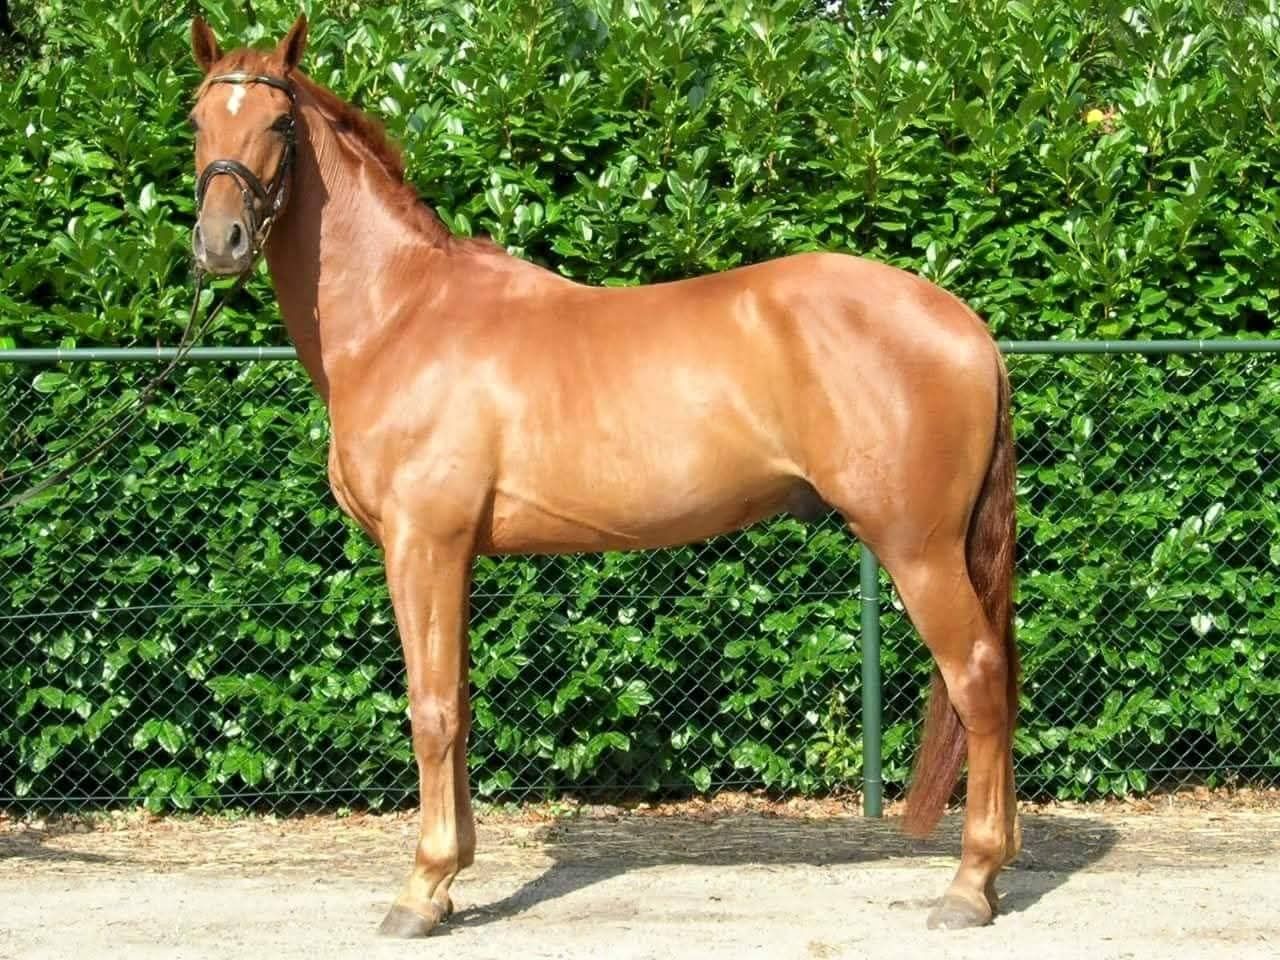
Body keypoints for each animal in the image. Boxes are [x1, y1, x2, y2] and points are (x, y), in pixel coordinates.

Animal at [187, 14, 1020, 937]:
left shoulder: (421, 545)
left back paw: (969, 884)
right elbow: (461, 705)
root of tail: (965, 324)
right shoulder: (454, 556)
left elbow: (430, 711)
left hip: (919, 549)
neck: (403, 313)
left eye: (280, 124)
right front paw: (453, 874)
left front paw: (421, 889)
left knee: (979, 679)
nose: (219, 243)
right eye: (197, 120)